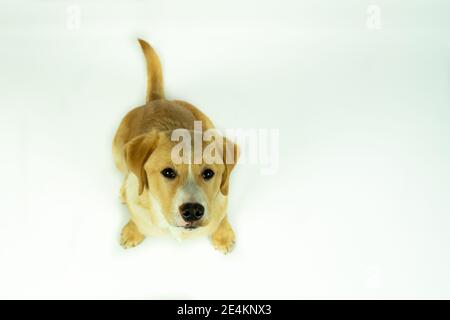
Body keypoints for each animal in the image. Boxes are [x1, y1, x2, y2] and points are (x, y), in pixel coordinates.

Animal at [112, 39, 239, 252]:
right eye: (168, 172)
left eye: (208, 173)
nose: (193, 211)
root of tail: (157, 100)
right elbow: (136, 217)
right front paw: (132, 230)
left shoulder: (221, 200)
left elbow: (221, 214)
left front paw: (223, 234)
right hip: (117, 151)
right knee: (127, 172)